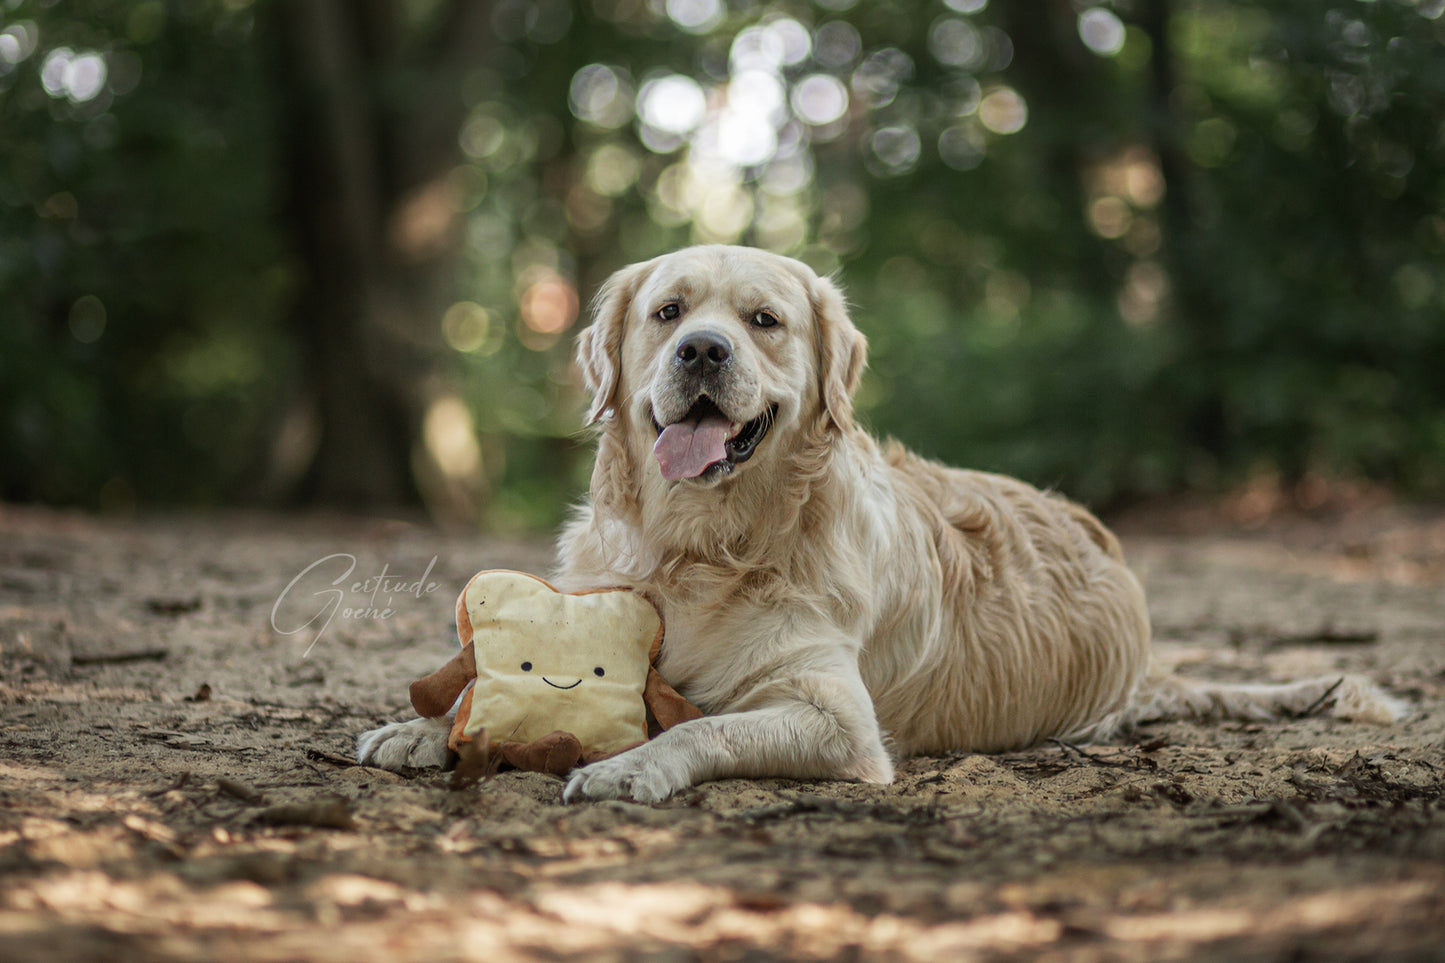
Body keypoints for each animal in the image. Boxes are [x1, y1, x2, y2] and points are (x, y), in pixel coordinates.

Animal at [355, 244, 1404, 798]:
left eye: (764, 321)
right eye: (666, 312)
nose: (702, 351)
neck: (704, 545)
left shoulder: (837, 717)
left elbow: (709, 728)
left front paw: (634, 765)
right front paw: (419, 729)